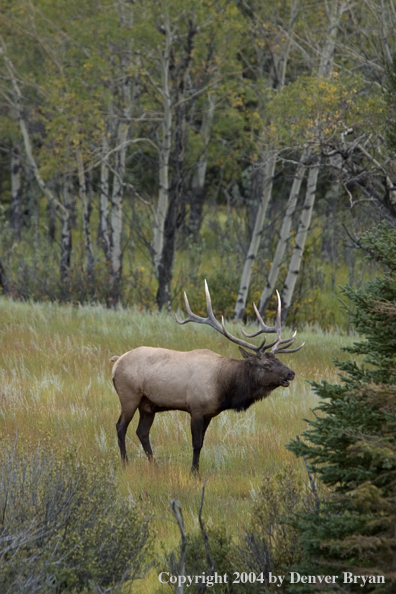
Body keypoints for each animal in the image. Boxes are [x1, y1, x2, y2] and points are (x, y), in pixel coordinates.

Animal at [111, 282, 304, 472]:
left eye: (278, 360)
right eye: (266, 365)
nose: (291, 373)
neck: (224, 387)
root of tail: (116, 362)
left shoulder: (210, 413)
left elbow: (202, 443)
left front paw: (196, 469)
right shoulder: (196, 408)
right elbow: (196, 444)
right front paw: (193, 472)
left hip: (148, 404)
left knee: (142, 431)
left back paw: (154, 465)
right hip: (129, 395)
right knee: (121, 427)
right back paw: (125, 463)